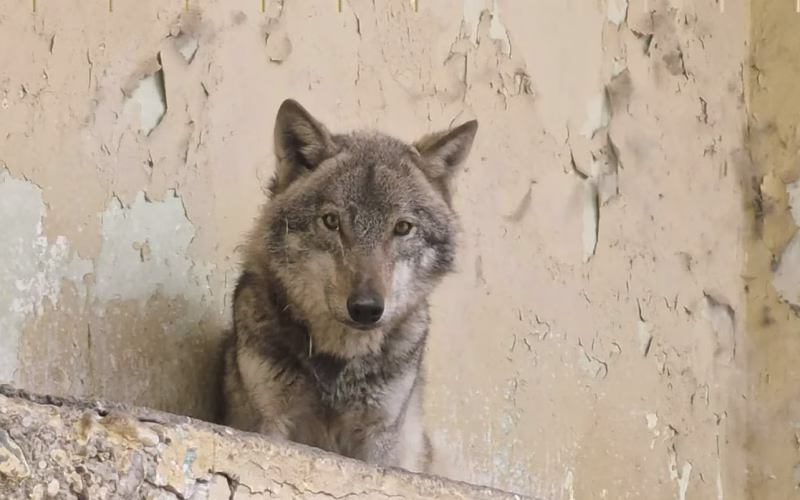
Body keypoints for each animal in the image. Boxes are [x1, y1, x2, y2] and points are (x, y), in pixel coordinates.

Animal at [219, 98, 478, 475]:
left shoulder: (381, 436)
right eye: (331, 222)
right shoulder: (269, 422)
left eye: (402, 228)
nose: (366, 309)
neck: (338, 364)